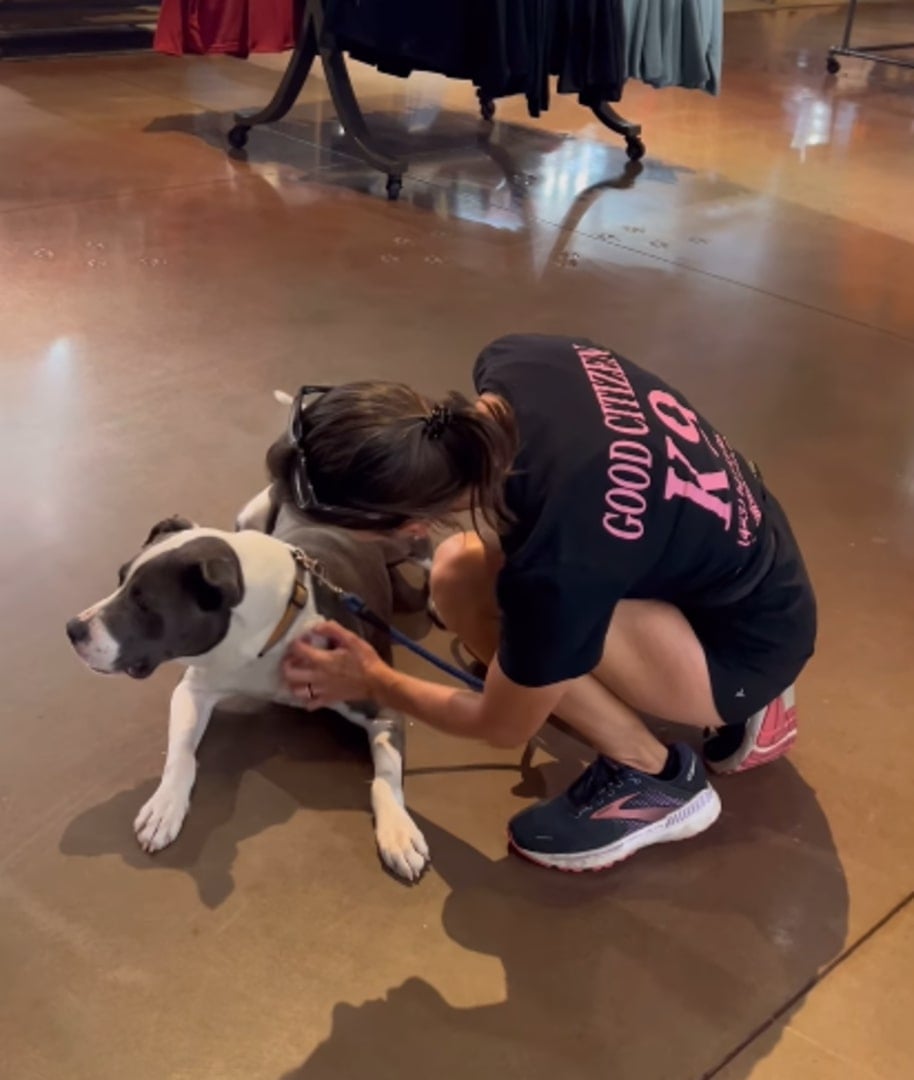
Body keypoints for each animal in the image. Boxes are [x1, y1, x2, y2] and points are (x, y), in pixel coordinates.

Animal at [68, 509, 432, 881]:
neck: (275, 631)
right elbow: (181, 756)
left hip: (396, 552)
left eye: (143, 603)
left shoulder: (383, 709)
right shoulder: (193, 689)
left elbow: (384, 777)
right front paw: (165, 804)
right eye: (120, 578)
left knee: (421, 545)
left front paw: (398, 830)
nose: (73, 629)